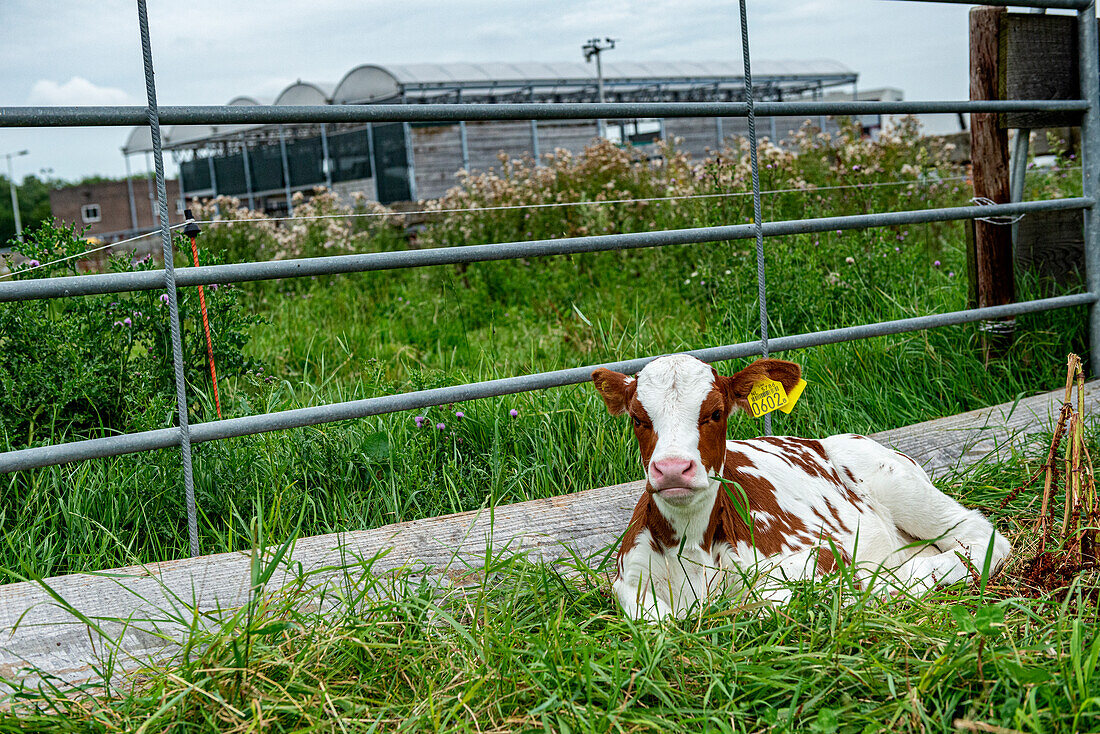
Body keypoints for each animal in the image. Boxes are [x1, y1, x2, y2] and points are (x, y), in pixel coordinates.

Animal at [594, 356, 1012, 620]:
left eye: (715, 413)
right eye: (637, 418)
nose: (672, 469)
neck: (691, 551)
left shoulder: (824, 552)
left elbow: (770, 599)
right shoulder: (627, 579)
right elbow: (654, 618)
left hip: (900, 484)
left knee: (982, 538)